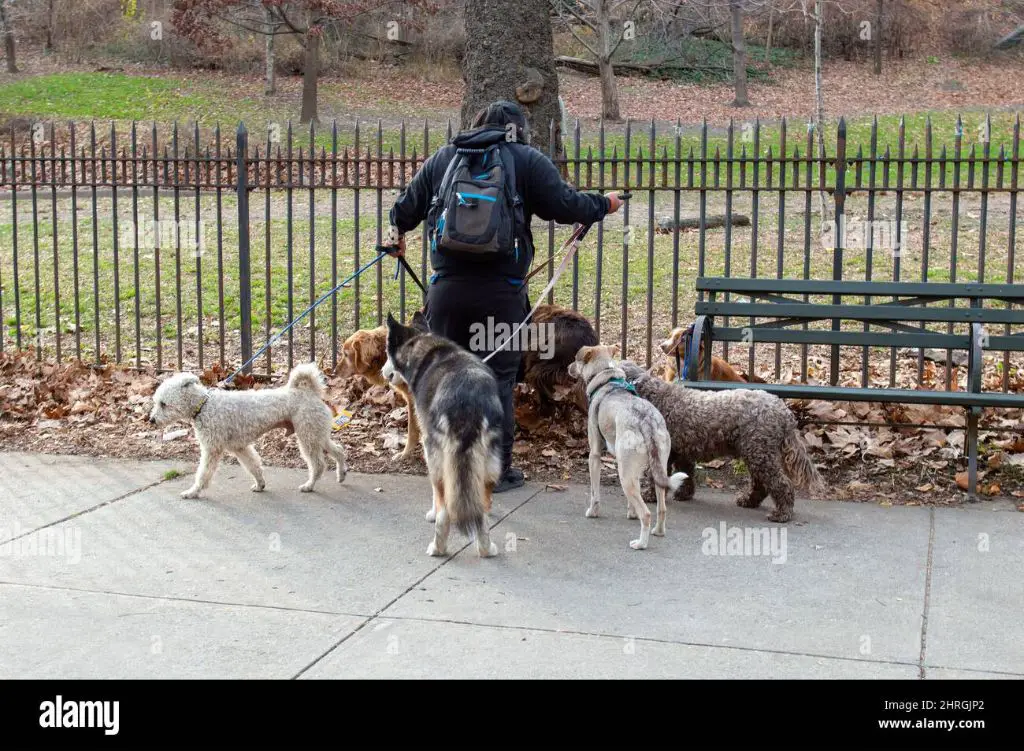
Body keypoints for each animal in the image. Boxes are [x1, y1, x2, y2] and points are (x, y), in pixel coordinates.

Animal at [148, 362, 348, 497]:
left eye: (163, 404)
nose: (151, 420)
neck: (204, 405)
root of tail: (310, 392)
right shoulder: (240, 448)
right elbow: (254, 466)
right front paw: (260, 484)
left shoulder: (212, 449)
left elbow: (203, 474)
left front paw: (193, 492)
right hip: (316, 433)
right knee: (339, 451)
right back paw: (341, 474)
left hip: (308, 436)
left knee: (318, 464)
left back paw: (309, 485)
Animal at [380, 311, 499, 557]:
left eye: (386, 353)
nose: (383, 372)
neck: (422, 344)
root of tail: (466, 399)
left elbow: (435, 495)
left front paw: (431, 514)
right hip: (489, 458)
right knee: (481, 509)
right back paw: (486, 548)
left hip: (439, 458)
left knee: (445, 509)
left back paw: (438, 547)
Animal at [569, 342, 688, 549]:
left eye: (576, 359)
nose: (568, 368)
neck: (606, 377)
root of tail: (647, 421)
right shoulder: (630, 467)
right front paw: (631, 514)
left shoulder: (594, 455)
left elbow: (594, 492)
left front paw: (593, 512)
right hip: (655, 469)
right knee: (661, 508)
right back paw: (658, 532)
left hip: (624, 476)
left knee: (646, 514)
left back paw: (640, 543)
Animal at [614, 358, 823, 520]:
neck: (649, 394)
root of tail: (784, 412)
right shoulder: (682, 451)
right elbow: (686, 473)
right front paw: (684, 493)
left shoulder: (661, 451)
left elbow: (656, 477)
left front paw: (651, 496)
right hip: (757, 454)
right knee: (760, 485)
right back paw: (748, 500)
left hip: (759, 454)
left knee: (781, 484)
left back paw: (782, 512)